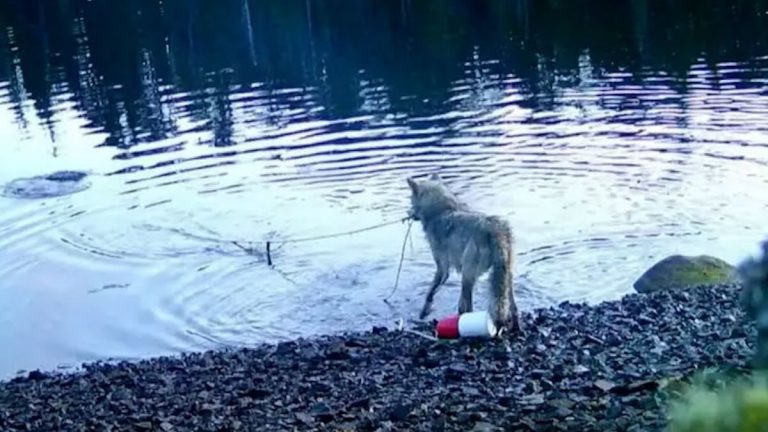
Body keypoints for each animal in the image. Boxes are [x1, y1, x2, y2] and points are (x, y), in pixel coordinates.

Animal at [406, 173, 520, 333]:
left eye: (411, 201)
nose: (408, 213)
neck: (443, 210)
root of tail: (496, 232)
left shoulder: (442, 268)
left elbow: (430, 291)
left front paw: (424, 311)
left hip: (467, 276)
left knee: (468, 307)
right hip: (505, 278)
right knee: (513, 309)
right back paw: (516, 329)